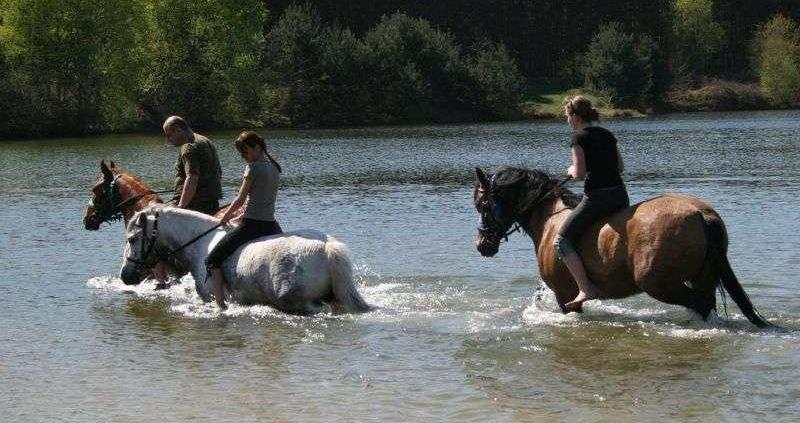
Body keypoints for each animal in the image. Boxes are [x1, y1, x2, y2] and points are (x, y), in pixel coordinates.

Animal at [119, 205, 372, 314]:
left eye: (132, 239)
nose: (125, 276)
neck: (201, 244)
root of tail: (327, 247)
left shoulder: (210, 296)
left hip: (295, 301)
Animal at [476, 167, 776, 330]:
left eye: (481, 204)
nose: (482, 245)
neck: (550, 218)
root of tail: (700, 214)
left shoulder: (565, 296)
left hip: (659, 283)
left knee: (699, 304)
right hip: (701, 277)